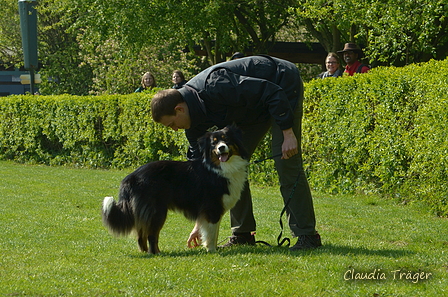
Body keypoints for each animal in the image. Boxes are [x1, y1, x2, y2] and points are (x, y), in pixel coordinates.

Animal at [102, 126, 248, 253]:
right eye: (214, 143)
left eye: (226, 139)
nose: (221, 147)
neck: (219, 168)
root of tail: (130, 177)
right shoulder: (212, 208)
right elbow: (211, 234)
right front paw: (212, 250)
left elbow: (214, 232)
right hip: (157, 210)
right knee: (151, 235)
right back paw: (155, 253)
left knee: (141, 234)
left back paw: (147, 252)